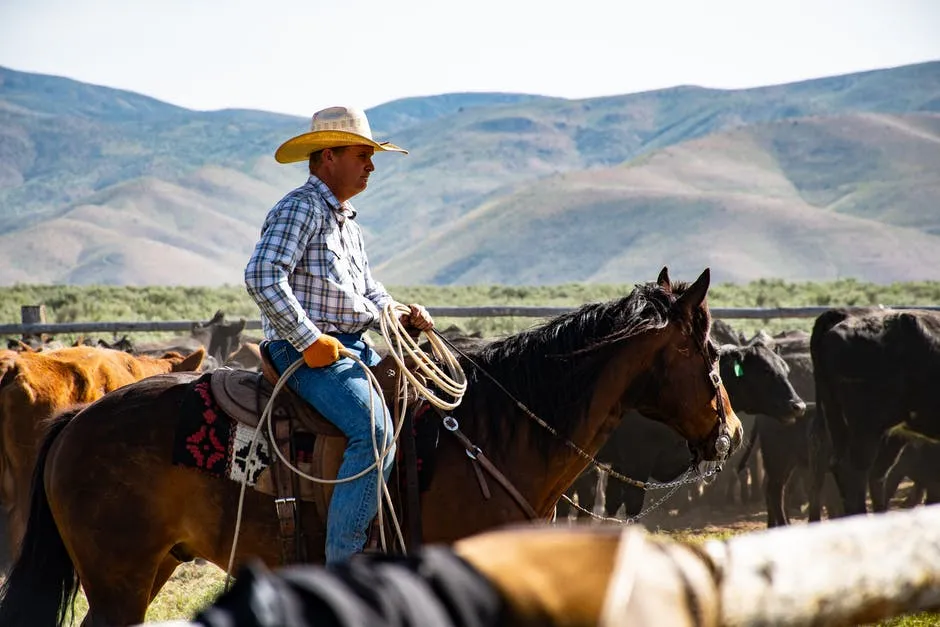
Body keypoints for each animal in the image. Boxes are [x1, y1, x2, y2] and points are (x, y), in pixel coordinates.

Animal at [0, 266, 740, 627]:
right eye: (707, 352)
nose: (730, 433)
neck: (494, 433)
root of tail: (79, 420)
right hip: (120, 580)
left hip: (146, 569)